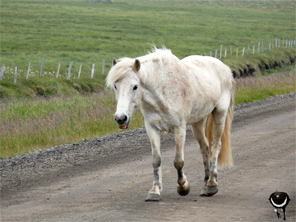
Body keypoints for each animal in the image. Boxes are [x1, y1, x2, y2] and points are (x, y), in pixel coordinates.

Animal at [106, 46, 234, 201]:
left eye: (135, 86)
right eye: (115, 86)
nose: (121, 118)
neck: (162, 90)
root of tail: (225, 67)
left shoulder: (180, 128)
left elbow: (178, 161)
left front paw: (183, 187)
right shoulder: (152, 128)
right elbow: (156, 160)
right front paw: (154, 191)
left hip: (220, 113)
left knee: (216, 145)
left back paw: (211, 185)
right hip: (198, 122)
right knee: (205, 148)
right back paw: (205, 186)